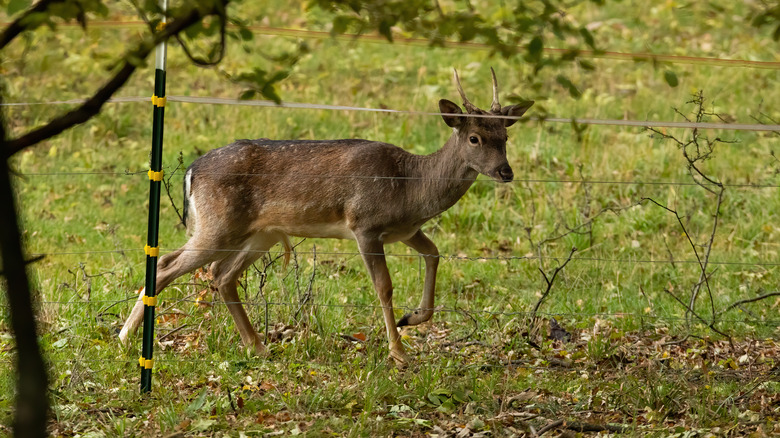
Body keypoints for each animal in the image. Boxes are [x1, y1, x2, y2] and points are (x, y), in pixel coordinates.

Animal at [119, 68, 532, 366]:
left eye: (505, 137)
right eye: (475, 138)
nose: (505, 172)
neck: (412, 187)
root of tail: (191, 171)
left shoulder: (405, 229)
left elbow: (434, 254)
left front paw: (411, 318)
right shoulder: (365, 223)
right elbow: (384, 286)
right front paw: (399, 353)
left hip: (260, 233)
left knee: (221, 275)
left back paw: (258, 347)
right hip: (217, 225)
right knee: (167, 264)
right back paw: (125, 339)